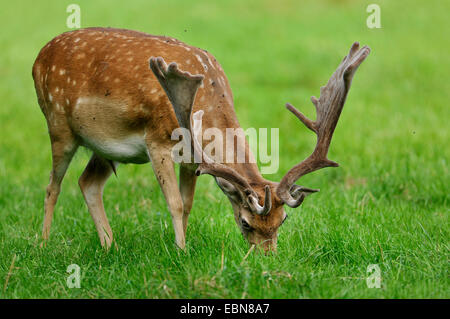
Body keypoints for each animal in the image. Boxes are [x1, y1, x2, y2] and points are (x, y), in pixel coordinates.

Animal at [30, 27, 370, 252]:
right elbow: (175, 203)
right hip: (58, 124)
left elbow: (189, 203)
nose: (267, 257)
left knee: (88, 182)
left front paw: (184, 244)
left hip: (104, 148)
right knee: (52, 186)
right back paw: (43, 244)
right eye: (245, 222)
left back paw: (109, 245)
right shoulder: (157, 141)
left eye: (282, 221)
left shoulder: (192, 159)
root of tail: (38, 57)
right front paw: (181, 251)